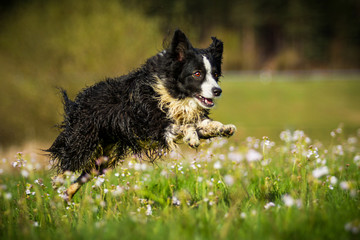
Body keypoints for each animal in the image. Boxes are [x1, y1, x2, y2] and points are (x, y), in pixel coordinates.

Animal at [47, 29, 236, 200]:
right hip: (84, 140)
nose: (217, 91)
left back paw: (66, 195)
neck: (172, 91)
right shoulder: (153, 125)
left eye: (216, 74)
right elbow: (181, 126)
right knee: (69, 162)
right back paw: (56, 182)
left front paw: (223, 128)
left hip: (105, 158)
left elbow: (201, 123)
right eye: (197, 74)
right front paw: (192, 136)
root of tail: (79, 101)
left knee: (84, 174)